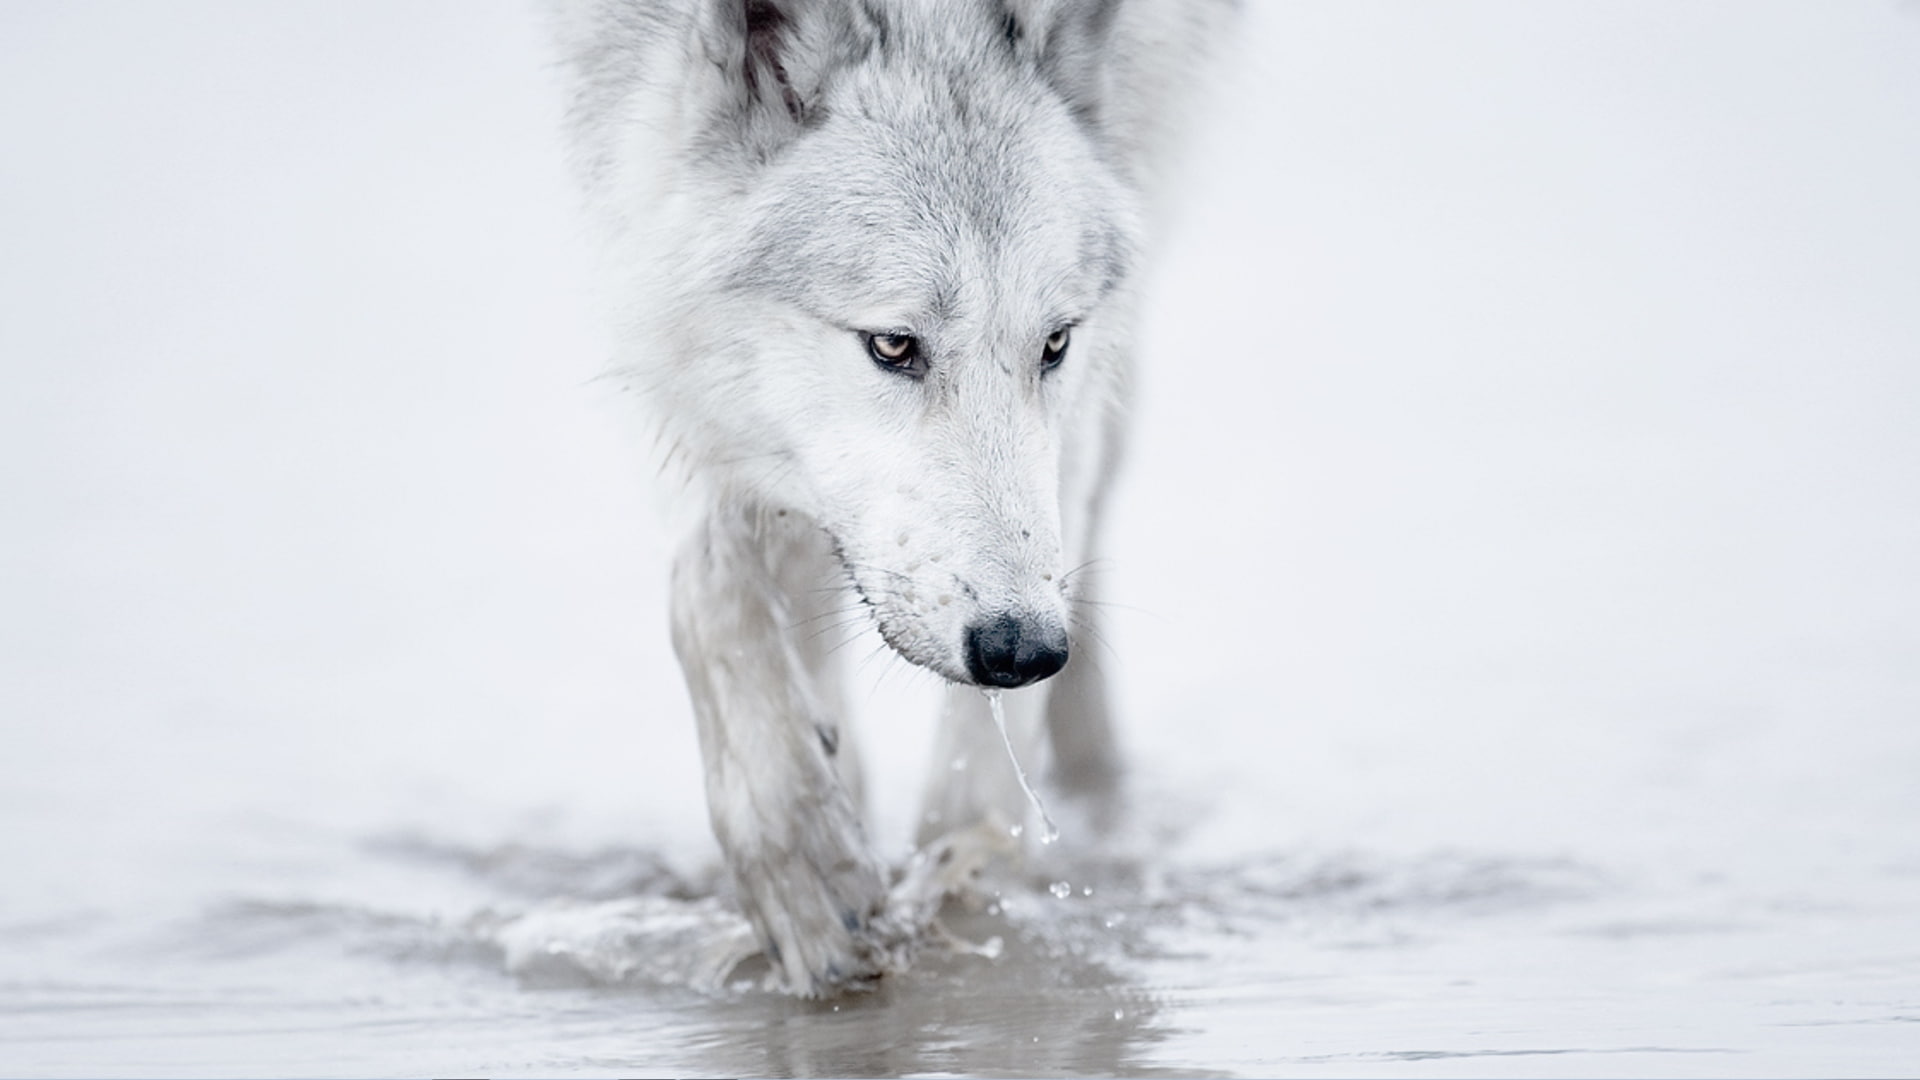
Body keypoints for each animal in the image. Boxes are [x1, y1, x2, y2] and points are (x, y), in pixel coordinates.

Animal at [550, 0, 1230, 995]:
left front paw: (960, 889)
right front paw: (806, 864)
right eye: (894, 345)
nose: (1024, 649)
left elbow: (977, 772)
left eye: (1054, 344)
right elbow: (710, 588)